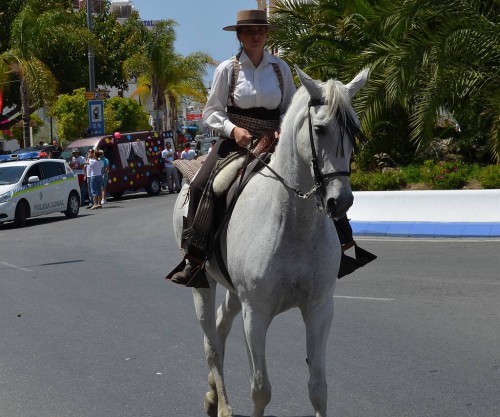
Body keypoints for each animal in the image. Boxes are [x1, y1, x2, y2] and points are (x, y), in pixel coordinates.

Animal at [172, 67, 368, 416]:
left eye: (354, 130)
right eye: (319, 129)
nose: (340, 201)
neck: (293, 222)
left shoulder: (320, 308)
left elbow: (318, 388)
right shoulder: (256, 314)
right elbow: (261, 389)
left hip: (234, 292)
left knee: (220, 328)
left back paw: (212, 394)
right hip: (203, 284)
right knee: (211, 344)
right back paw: (222, 405)